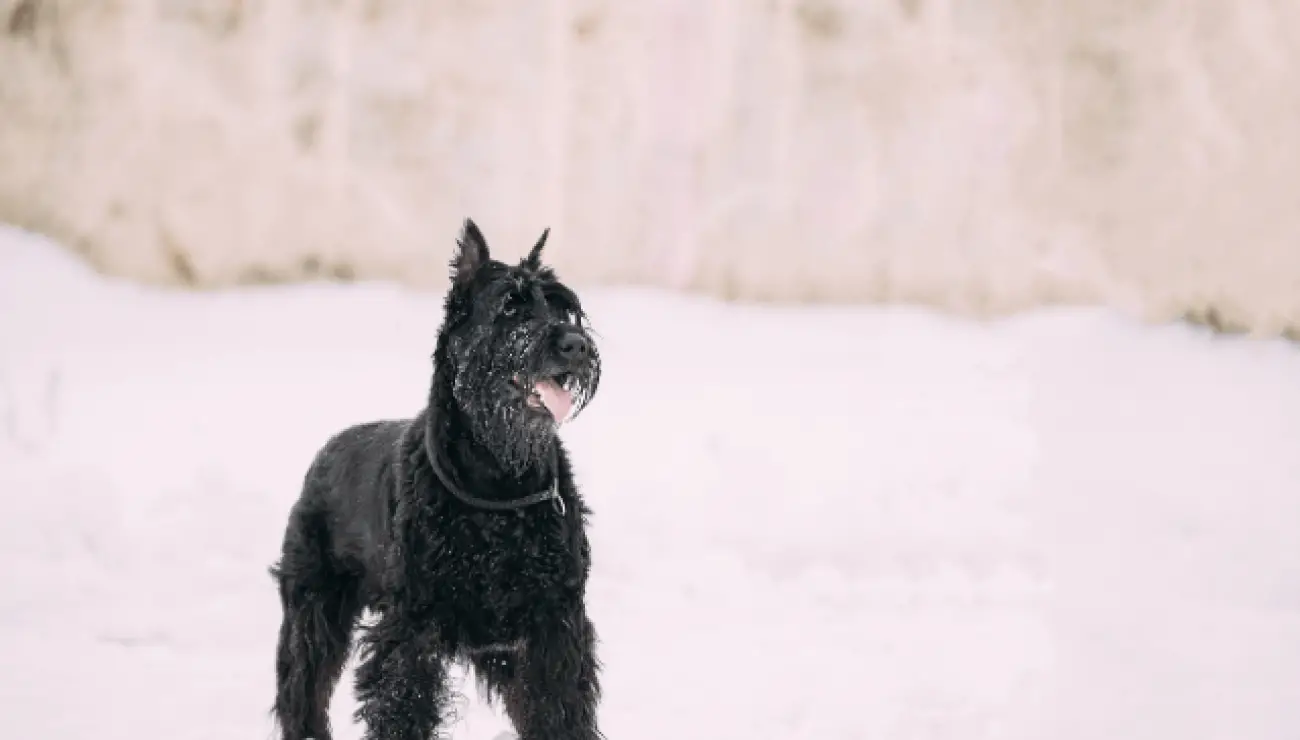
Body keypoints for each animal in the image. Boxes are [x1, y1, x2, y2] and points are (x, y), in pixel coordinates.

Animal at [273, 219, 603, 738]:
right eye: (511, 305)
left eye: (564, 307)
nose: (577, 345)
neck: (499, 482)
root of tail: (325, 451)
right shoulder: (411, 632)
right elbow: (402, 708)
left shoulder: (553, 628)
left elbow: (560, 714)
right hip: (312, 612)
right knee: (301, 692)